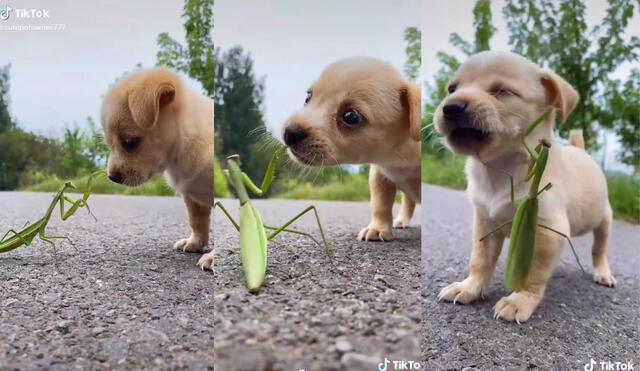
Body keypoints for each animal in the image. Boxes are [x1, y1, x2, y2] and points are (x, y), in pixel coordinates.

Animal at [100, 67, 215, 270]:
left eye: (130, 142)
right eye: (108, 144)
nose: (112, 177)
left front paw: (211, 257)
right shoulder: (191, 197)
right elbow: (197, 221)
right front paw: (195, 242)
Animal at [280, 56, 420, 241]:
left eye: (351, 117)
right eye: (308, 98)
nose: (289, 133)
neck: (395, 157)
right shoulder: (380, 175)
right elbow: (380, 204)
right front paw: (377, 228)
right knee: (408, 202)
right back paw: (402, 220)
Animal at [436, 50, 616, 324]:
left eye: (503, 91)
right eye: (451, 89)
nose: (451, 107)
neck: (498, 171)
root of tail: (582, 151)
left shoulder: (550, 230)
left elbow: (534, 272)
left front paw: (518, 300)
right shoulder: (486, 220)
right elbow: (480, 258)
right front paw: (469, 287)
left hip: (602, 218)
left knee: (600, 248)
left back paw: (603, 272)